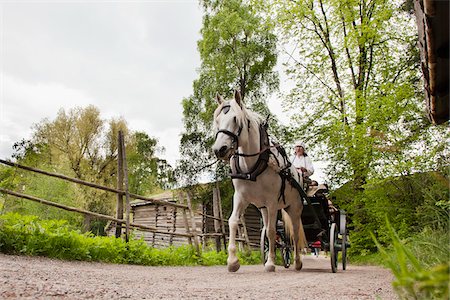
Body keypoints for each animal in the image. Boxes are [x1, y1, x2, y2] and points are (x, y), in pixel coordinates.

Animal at [212, 91, 306, 272]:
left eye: (235, 119)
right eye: (217, 120)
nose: (219, 149)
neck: (253, 167)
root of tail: (298, 174)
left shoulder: (272, 202)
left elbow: (271, 231)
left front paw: (270, 263)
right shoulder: (240, 197)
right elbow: (233, 222)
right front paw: (232, 261)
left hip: (294, 208)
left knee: (295, 232)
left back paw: (297, 262)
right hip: (263, 208)